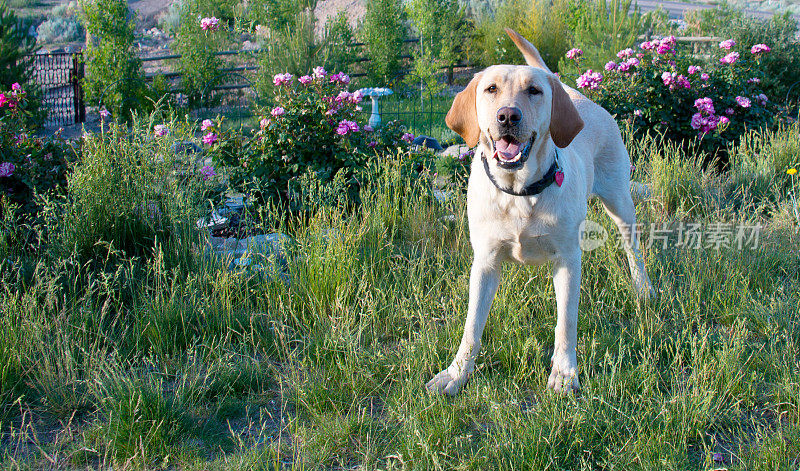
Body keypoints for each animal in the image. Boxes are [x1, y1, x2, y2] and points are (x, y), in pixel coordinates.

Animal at [428, 29, 652, 396]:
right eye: (491, 89)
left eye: (534, 91)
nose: (507, 116)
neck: (519, 192)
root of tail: (576, 93)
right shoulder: (485, 261)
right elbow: (472, 326)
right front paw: (457, 373)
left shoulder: (568, 259)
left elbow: (566, 322)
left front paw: (565, 372)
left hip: (619, 200)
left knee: (633, 248)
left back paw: (643, 287)